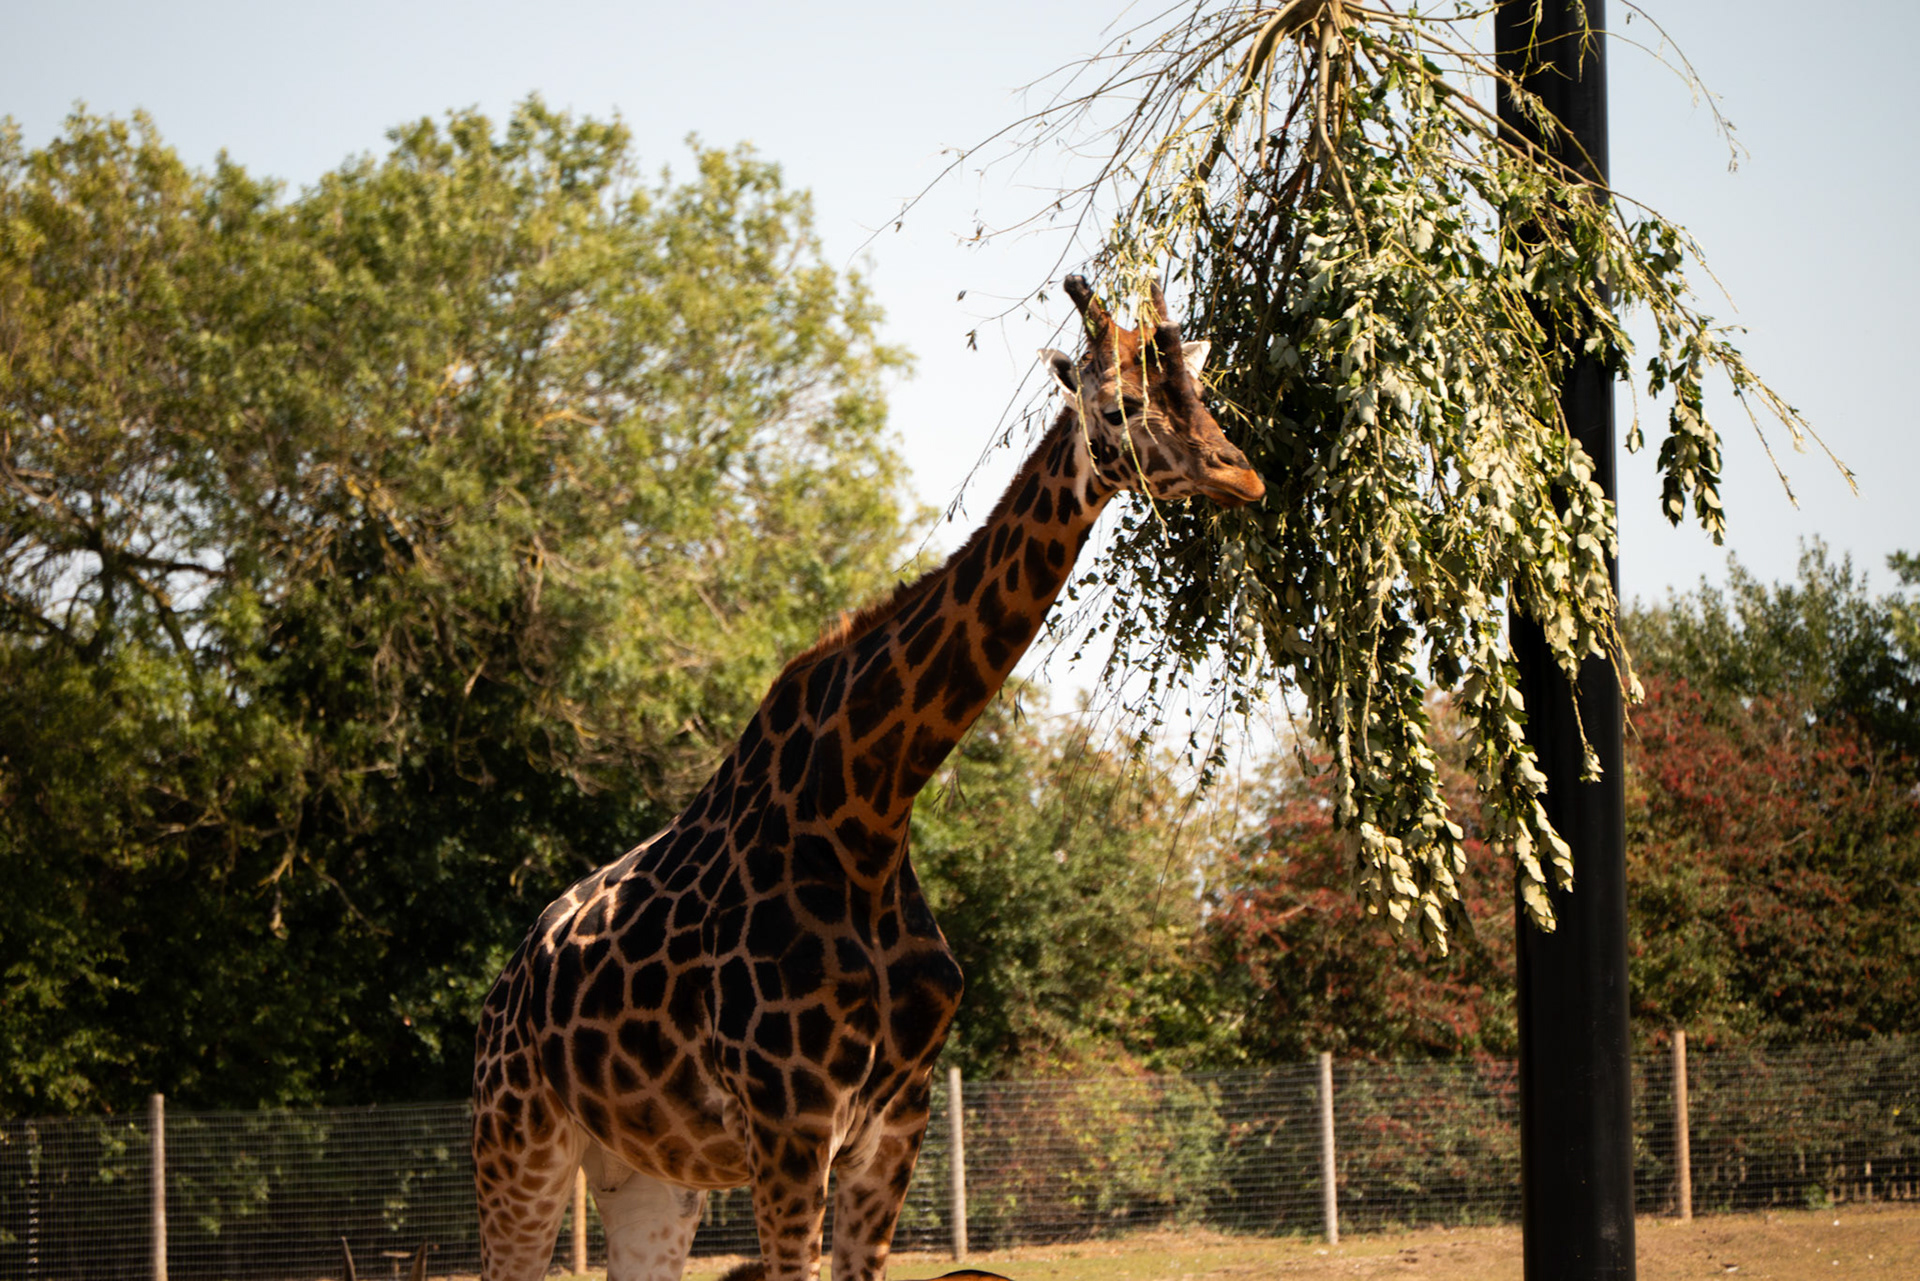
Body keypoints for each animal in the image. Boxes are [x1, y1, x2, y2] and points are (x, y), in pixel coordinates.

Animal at [471, 275, 1264, 1281]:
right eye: (1121, 404)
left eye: (1199, 392)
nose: (1242, 475)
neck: (870, 808)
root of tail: (506, 986)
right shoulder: (789, 1122)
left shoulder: (896, 1121)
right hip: (518, 1143)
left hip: (645, 1175)